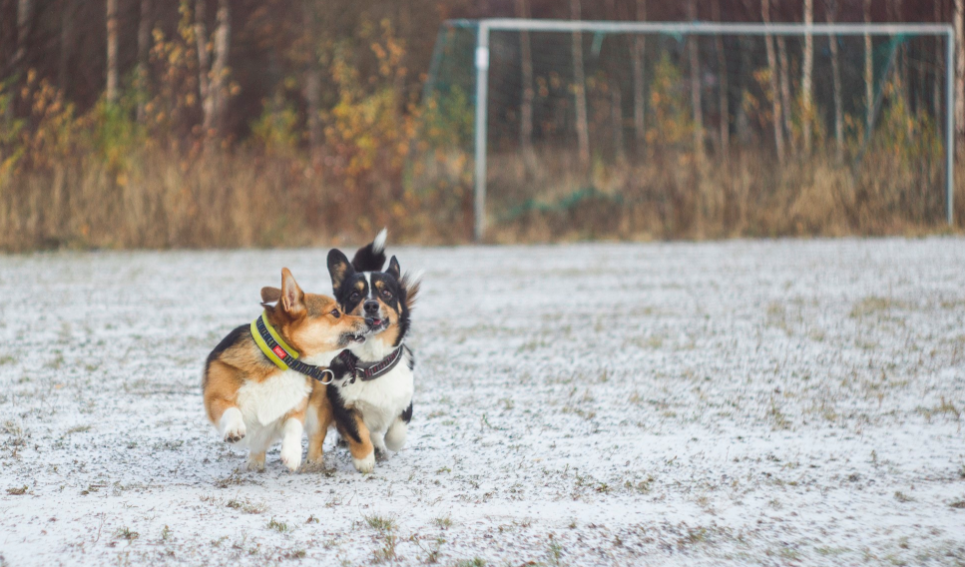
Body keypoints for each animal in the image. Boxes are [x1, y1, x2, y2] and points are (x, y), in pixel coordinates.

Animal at [203, 268, 370, 472]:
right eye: (335, 312)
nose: (371, 320)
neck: (282, 360)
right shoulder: (214, 398)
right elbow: (230, 408)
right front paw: (235, 429)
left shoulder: (297, 406)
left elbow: (294, 424)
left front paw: (292, 454)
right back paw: (255, 463)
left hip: (318, 409)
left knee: (316, 438)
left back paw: (313, 463)